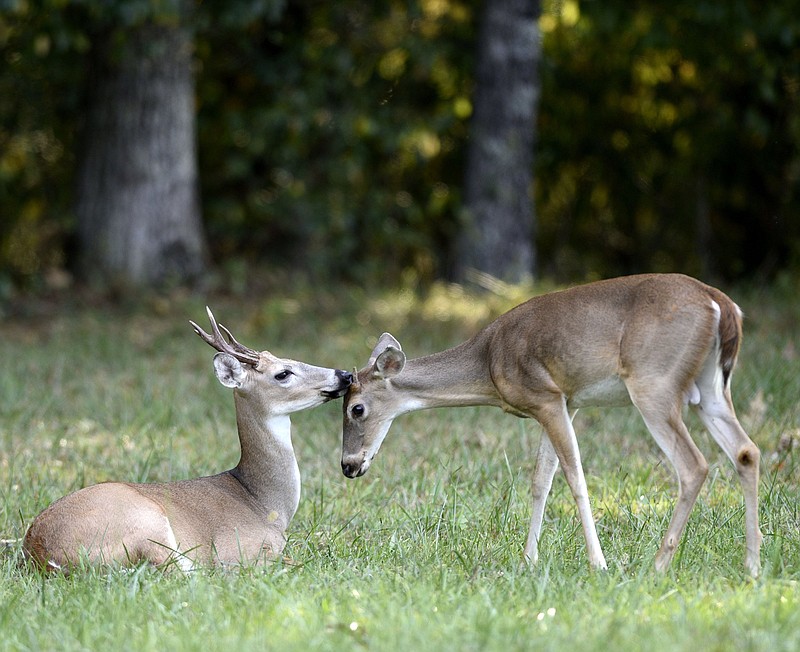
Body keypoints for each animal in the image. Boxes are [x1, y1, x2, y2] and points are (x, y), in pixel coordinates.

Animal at [24, 310, 354, 572]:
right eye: (283, 373)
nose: (345, 374)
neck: (266, 505)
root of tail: (41, 556)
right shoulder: (240, 547)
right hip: (146, 523)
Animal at [340, 276, 764, 576]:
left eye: (356, 409)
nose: (348, 465)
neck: (488, 363)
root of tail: (721, 304)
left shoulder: (547, 396)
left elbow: (574, 476)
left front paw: (598, 563)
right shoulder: (565, 402)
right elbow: (540, 480)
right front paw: (528, 560)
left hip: (654, 383)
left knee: (694, 465)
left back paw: (658, 565)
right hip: (710, 388)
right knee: (746, 451)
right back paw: (752, 565)